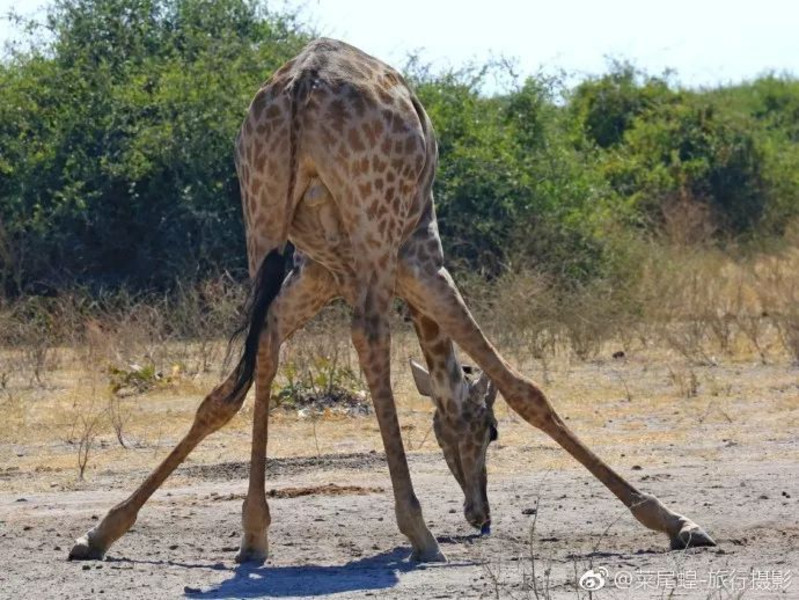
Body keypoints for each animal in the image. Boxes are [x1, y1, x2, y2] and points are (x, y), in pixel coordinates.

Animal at [70, 36, 720, 564]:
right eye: (489, 433)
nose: (479, 516)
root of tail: (302, 85)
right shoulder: (419, 257)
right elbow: (523, 387)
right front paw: (675, 522)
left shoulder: (319, 273)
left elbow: (231, 386)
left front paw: (104, 530)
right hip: (376, 233)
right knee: (370, 343)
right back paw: (418, 532)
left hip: (262, 226)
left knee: (261, 354)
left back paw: (253, 535)